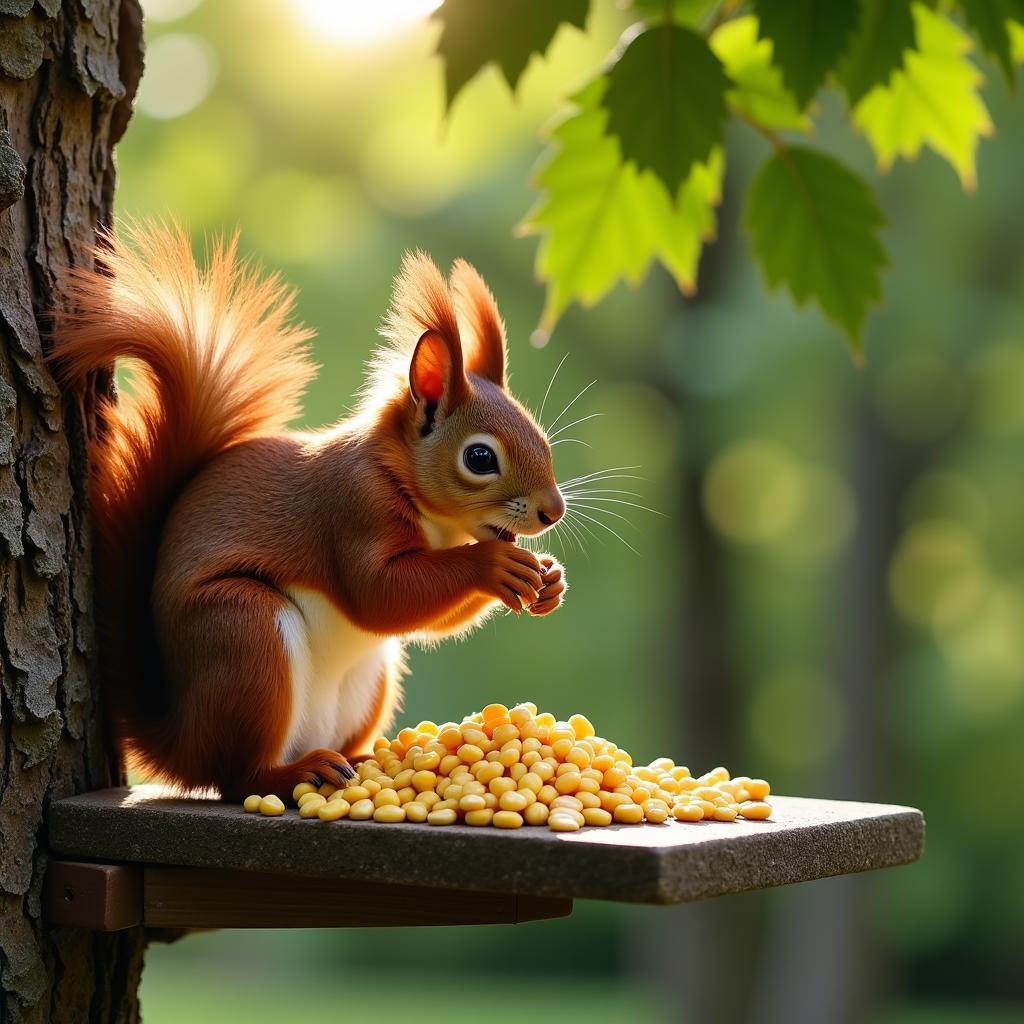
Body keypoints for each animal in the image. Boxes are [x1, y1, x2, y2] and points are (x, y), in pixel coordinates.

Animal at [51, 224, 569, 798]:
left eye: (541, 439)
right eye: (480, 458)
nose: (553, 512)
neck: (430, 515)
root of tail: (182, 741)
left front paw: (549, 579)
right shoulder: (351, 510)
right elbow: (379, 596)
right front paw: (494, 566)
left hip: (368, 679)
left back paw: (361, 760)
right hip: (243, 631)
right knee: (238, 778)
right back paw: (295, 772)